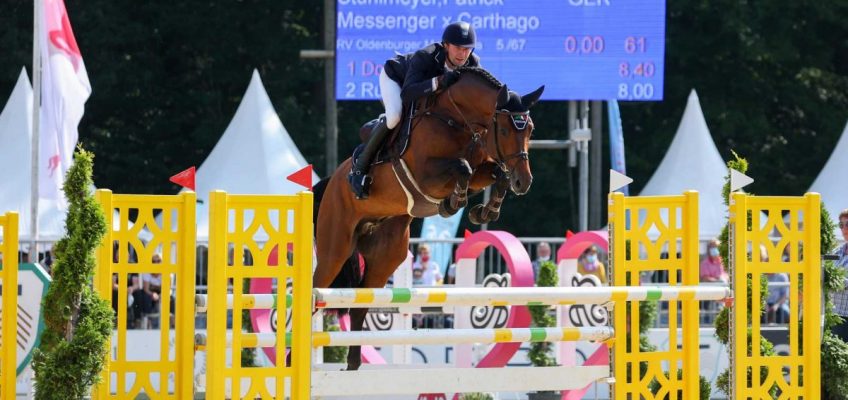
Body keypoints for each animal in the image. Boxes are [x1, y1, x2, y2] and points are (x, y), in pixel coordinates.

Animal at [312, 67, 544, 370]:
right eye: (504, 129)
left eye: (530, 130)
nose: (524, 182)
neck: (458, 119)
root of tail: (332, 181)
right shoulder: (425, 175)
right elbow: (462, 167)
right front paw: (454, 202)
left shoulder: (482, 169)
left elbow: (495, 174)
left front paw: (484, 210)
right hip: (335, 249)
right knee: (314, 292)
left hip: (385, 257)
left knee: (360, 305)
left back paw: (353, 365)